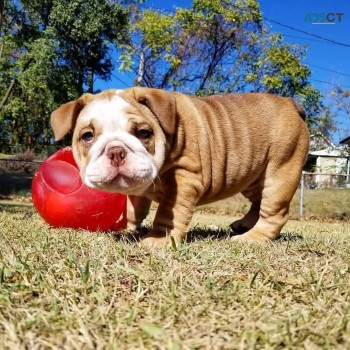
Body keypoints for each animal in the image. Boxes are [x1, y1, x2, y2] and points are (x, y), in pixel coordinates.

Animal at [50, 87, 308, 246]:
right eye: (87, 136)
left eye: (144, 133)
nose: (116, 151)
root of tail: (290, 102)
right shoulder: (138, 189)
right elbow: (134, 209)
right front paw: (126, 229)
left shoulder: (185, 178)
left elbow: (168, 212)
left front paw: (160, 239)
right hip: (254, 176)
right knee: (257, 200)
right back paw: (243, 225)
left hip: (280, 169)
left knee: (274, 211)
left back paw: (251, 238)